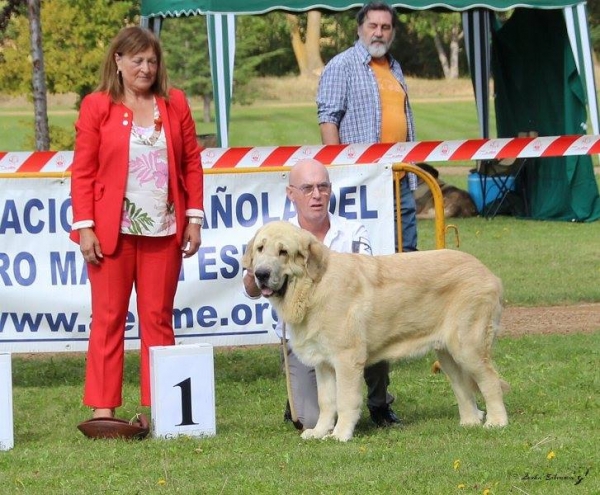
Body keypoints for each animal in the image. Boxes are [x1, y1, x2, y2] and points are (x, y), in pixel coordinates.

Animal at [241, 221, 508, 442]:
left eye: (283, 252)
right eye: (260, 248)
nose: (261, 274)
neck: (313, 287)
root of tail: (488, 273)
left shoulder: (346, 359)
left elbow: (345, 400)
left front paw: (340, 435)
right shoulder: (324, 364)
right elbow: (326, 401)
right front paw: (319, 431)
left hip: (468, 347)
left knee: (490, 380)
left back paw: (496, 422)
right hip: (447, 355)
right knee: (463, 387)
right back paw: (469, 422)